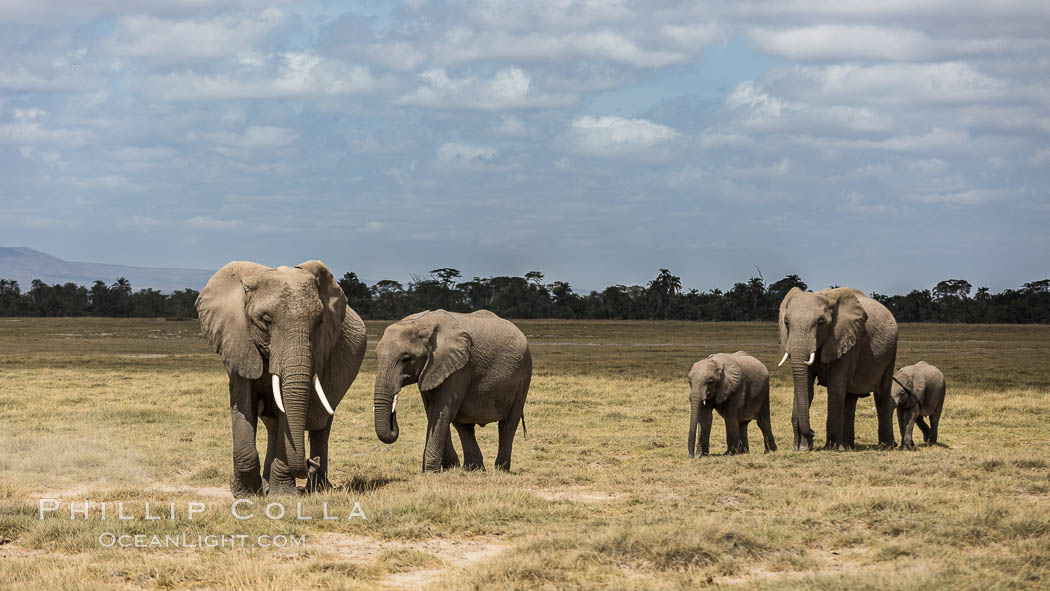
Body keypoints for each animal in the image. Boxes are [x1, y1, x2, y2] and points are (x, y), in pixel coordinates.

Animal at [195, 261, 367, 497]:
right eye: (266, 321)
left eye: (319, 322)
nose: (311, 462)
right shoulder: (238, 342)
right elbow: (244, 406)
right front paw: (245, 492)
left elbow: (290, 414)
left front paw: (283, 495)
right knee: (274, 426)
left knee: (321, 425)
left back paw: (317, 488)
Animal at [371, 310, 533, 472]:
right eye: (376, 355)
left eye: (406, 358)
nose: (393, 414)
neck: (421, 324)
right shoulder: (431, 369)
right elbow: (433, 412)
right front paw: (448, 468)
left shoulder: (459, 367)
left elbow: (440, 411)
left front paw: (430, 472)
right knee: (464, 426)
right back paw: (473, 469)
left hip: (524, 374)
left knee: (508, 423)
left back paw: (500, 470)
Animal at [776, 289, 898, 451]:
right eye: (786, 322)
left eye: (821, 322)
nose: (813, 433)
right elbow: (807, 388)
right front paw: (802, 448)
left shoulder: (845, 341)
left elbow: (835, 388)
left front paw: (830, 448)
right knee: (850, 398)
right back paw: (847, 446)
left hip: (891, 352)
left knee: (882, 395)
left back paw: (885, 446)